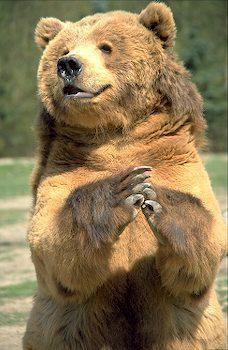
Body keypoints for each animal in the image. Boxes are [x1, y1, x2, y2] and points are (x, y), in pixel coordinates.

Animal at [23, 2, 226, 350]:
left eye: (106, 47)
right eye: (64, 50)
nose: (68, 65)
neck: (114, 135)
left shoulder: (177, 161)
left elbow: (207, 245)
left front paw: (159, 199)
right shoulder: (62, 169)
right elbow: (51, 244)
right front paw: (120, 191)